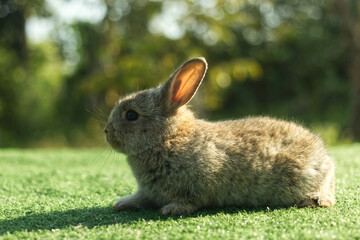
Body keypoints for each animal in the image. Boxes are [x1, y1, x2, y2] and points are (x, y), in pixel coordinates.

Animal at [104, 56, 334, 216]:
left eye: (131, 115)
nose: (106, 132)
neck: (167, 137)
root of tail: (326, 160)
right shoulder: (148, 191)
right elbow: (142, 198)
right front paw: (122, 203)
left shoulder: (199, 182)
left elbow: (190, 201)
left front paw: (171, 209)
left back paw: (316, 200)